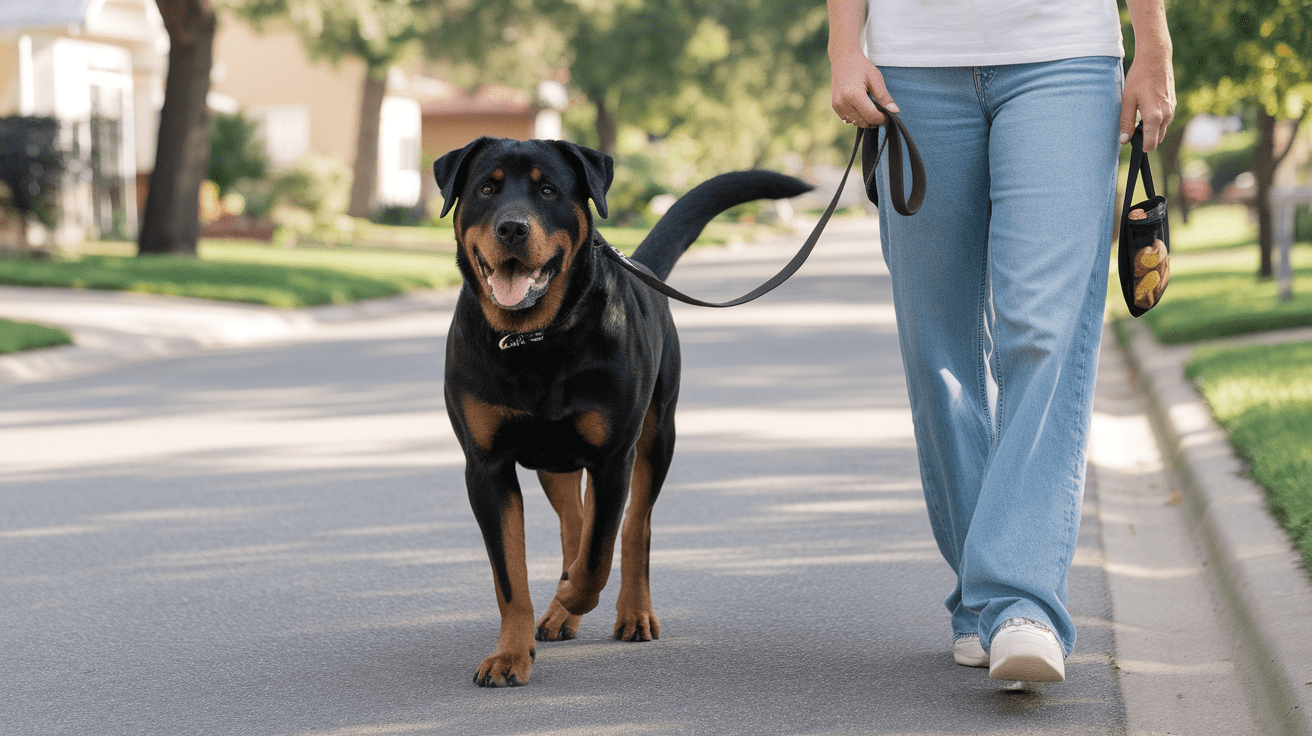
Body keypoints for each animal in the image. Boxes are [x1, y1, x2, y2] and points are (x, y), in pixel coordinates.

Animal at [435, 136, 808, 682]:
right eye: (487, 188)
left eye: (548, 190)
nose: (512, 227)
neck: (535, 340)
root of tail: (647, 271)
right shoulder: (486, 466)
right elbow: (511, 576)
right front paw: (510, 654)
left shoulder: (613, 457)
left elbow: (599, 555)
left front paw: (570, 597)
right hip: (555, 460)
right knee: (576, 522)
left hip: (656, 436)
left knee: (633, 527)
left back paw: (627, 612)